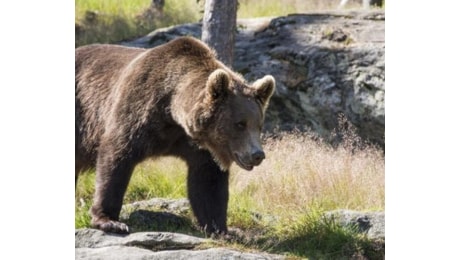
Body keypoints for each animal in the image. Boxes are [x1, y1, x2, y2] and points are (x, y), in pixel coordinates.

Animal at [75, 36, 274, 234]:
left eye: (259, 125)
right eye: (240, 124)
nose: (257, 155)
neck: (171, 112)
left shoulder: (199, 145)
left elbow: (208, 182)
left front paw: (219, 229)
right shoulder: (136, 111)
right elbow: (116, 157)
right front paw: (109, 221)